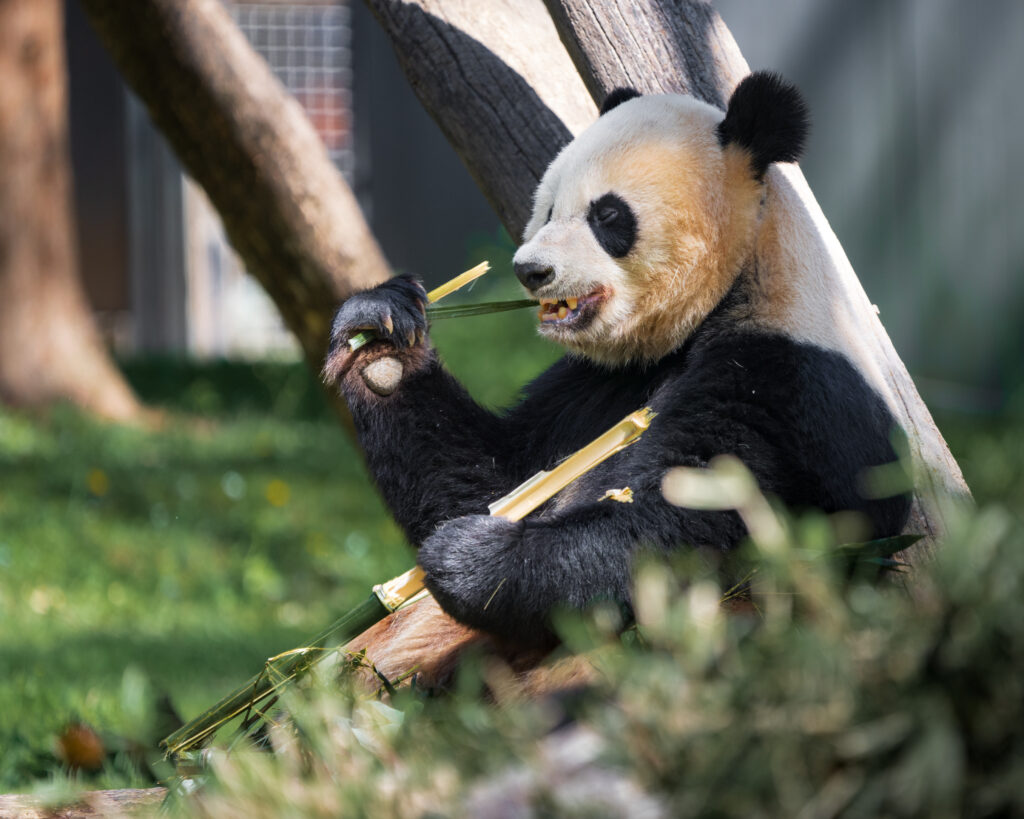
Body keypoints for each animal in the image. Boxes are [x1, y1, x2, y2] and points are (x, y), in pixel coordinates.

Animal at [324, 72, 911, 661]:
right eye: (549, 208)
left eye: (608, 215)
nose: (531, 270)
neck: (735, 282)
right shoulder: (599, 383)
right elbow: (501, 480)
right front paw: (379, 337)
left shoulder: (784, 383)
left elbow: (686, 525)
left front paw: (473, 558)